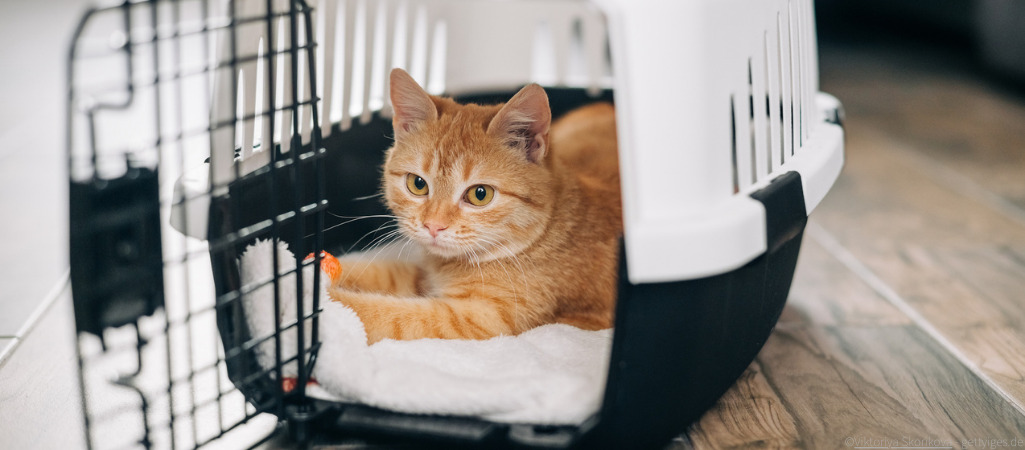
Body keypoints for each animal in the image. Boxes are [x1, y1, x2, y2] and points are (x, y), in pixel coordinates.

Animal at [321, 68, 623, 344]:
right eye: (417, 184)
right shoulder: (423, 276)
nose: (433, 226)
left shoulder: (477, 320)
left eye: (480, 194)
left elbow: (383, 315)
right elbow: (379, 273)